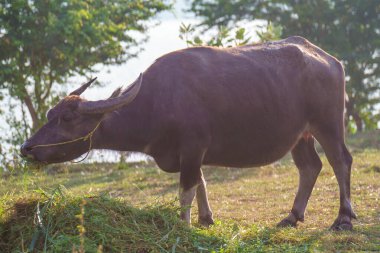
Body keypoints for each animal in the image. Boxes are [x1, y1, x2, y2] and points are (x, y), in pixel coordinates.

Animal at [20, 36, 356, 230]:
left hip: (327, 124)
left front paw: (183, 226)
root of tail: (329, 59)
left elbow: (186, 189)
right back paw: (292, 216)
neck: (157, 101)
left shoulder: (193, 147)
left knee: (341, 160)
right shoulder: (189, 153)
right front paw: (206, 219)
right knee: (310, 167)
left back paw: (343, 218)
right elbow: (201, 182)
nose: (27, 148)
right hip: (300, 135)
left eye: (66, 118)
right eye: (49, 115)